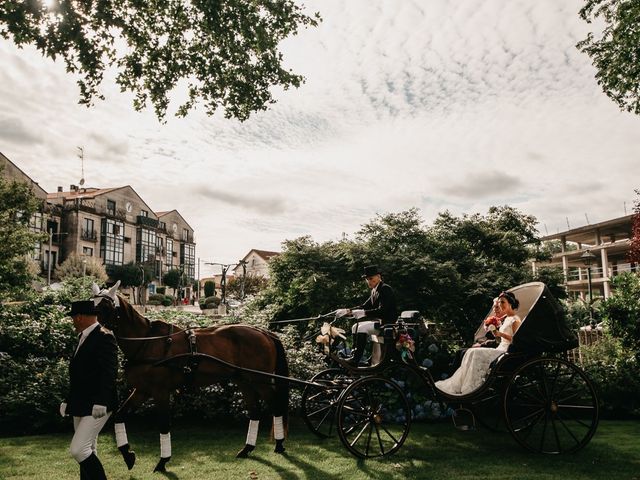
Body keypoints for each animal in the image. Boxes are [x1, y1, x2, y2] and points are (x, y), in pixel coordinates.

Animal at [90, 282, 290, 472]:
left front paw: (163, 461)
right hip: (245, 381)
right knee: (255, 411)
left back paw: (279, 444)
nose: (92, 329)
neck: (147, 341)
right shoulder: (142, 391)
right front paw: (127, 454)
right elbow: (119, 415)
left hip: (261, 381)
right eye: (91, 303)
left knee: (277, 407)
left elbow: (164, 425)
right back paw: (247, 448)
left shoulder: (161, 392)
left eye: (105, 307)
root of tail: (263, 332)